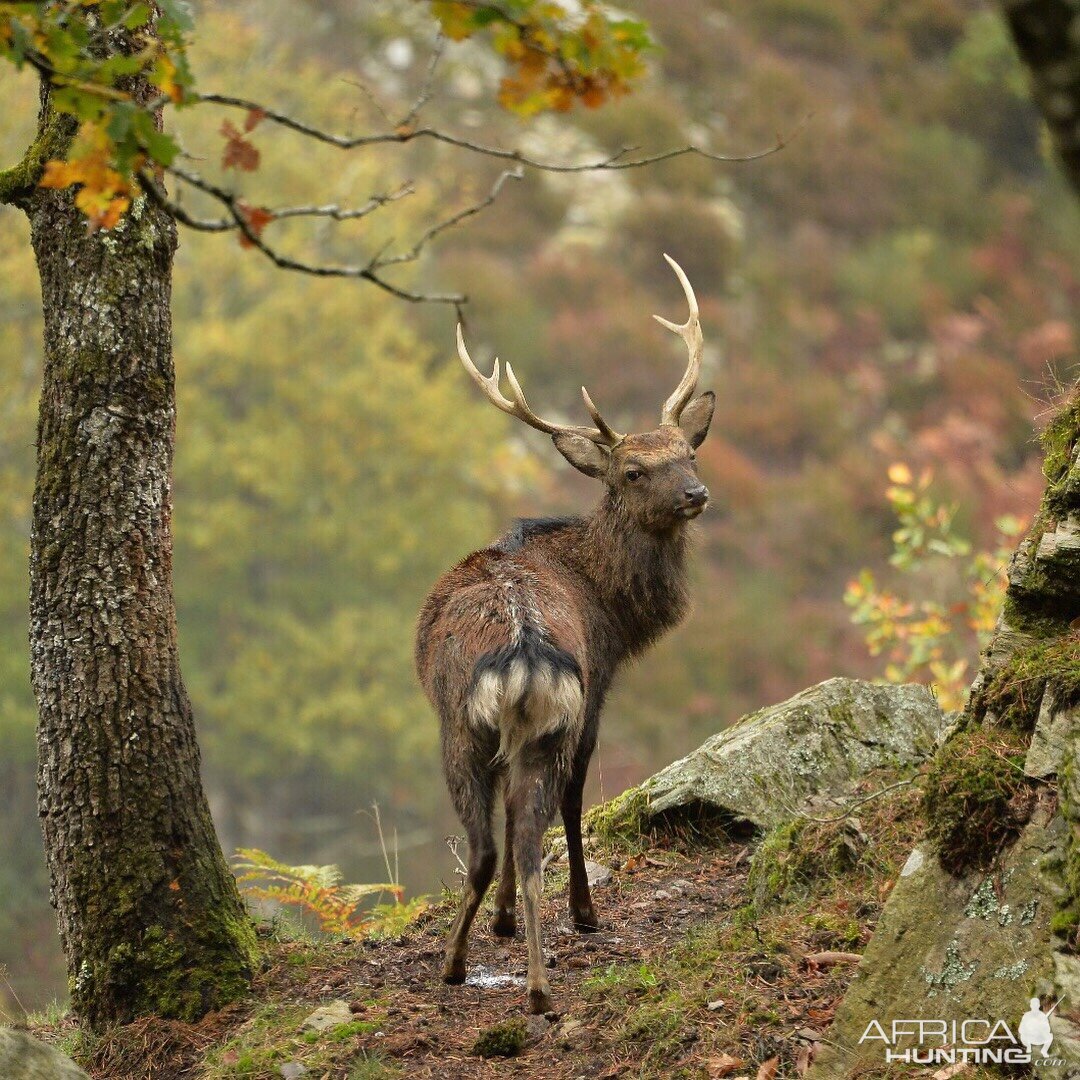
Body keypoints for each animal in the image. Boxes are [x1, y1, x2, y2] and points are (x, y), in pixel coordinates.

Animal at [410, 254, 708, 1010]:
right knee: (517, 835)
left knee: (500, 842)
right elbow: (577, 799)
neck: (615, 609)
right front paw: (584, 913)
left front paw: (513, 920)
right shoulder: (597, 684)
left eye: (689, 452)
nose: (697, 494)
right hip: (515, 725)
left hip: (473, 728)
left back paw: (491, 971)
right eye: (634, 469)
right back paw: (510, 974)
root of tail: (522, 656)